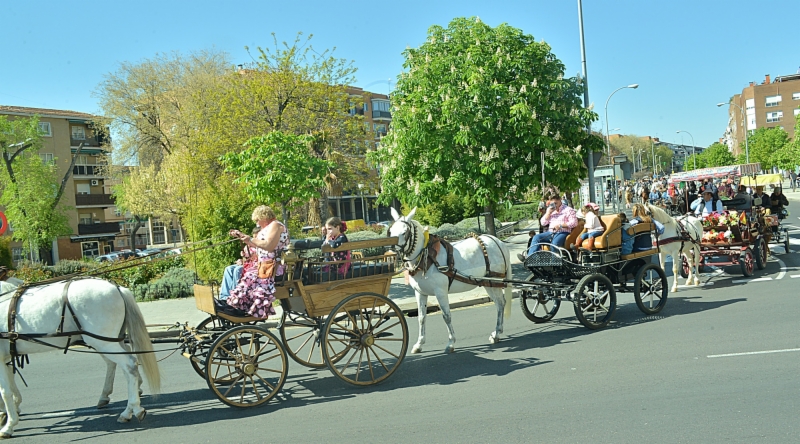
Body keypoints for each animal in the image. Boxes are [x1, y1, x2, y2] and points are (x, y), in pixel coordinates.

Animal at [0, 278, 161, 438]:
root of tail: (116, 287)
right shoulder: (6, 358)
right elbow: (11, 387)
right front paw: (10, 411)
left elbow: (5, 392)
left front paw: (9, 424)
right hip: (109, 340)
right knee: (123, 363)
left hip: (101, 341)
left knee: (129, 365)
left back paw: (132, 408)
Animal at [388, 208, 512, 354]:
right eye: (391, 231)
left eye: (404, 232)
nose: (391, 249)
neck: (426, 257)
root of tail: (498, 242)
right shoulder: (420, 293)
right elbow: (421, 317)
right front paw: (419, 344)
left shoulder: (440, 292)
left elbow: (446, 316)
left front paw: (451, 342)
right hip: (489, 282)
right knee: (499, 303)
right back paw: (496, 333)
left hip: (494, 281)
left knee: (500, 303)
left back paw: (497, 333)